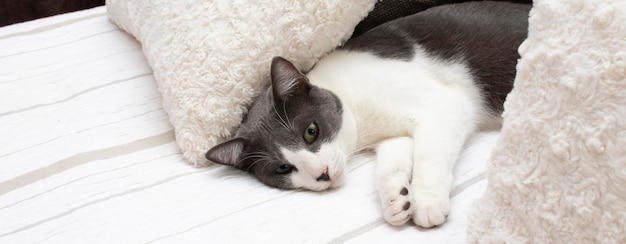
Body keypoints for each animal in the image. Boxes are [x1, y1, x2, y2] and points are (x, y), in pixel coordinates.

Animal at [205, 0, 528, 228]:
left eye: (311, 132)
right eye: (283, 168)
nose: (321, 174)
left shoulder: (446, 104)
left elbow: (429, 152)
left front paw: (426, 201)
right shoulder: (393, 133)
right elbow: (392, 160)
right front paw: (396, 199)